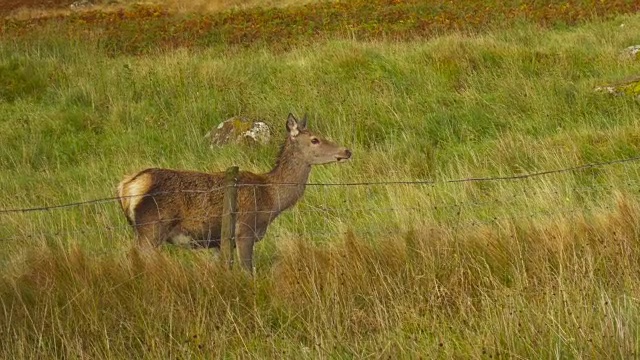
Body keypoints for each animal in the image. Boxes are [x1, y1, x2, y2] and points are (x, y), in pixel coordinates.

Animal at [117, 114, 352, 272]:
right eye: (315, 139)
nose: (347, 151)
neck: (270, 200)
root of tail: (126, 186)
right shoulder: (244, 230)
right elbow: (249, 272)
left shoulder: (219, 242)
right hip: (152, 228)